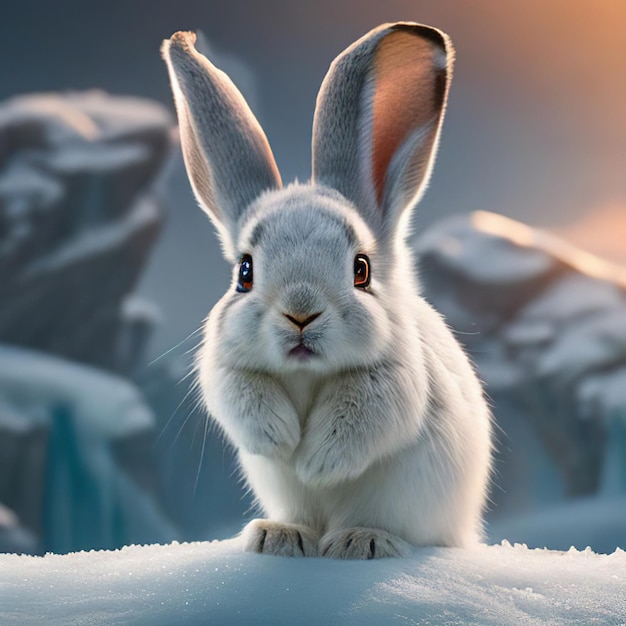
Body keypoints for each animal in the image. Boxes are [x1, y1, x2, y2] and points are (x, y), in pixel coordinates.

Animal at [162, 22, 492, 560]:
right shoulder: (227, 369)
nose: (301, 314)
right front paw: (281, 439)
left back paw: (362, 541)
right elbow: (241, 398)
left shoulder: (399, 377)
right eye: (245, 272)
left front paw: (314, 462)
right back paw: (278, 536)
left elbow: (364, 413)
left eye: (361, 270)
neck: (306, 373)